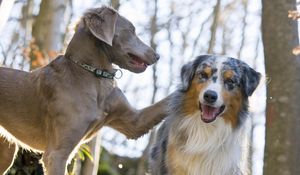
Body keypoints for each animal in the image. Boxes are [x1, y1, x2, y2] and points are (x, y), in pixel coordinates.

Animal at [0, 6, 171, 174]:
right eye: (131, 30)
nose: (157, 56)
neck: (93, 74)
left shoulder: (134, 121)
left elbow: (164, 104)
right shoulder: (56, 153)